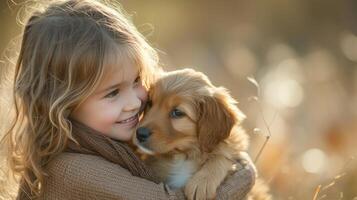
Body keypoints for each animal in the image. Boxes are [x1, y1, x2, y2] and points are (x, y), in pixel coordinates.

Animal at [134, 68, 270, 199]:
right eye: (150, 103)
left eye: (177, 112)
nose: (139, 133)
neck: (184, 156)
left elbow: (222, 156)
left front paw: (203, 182)